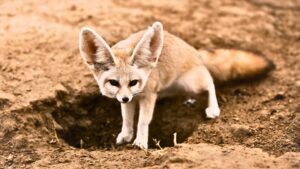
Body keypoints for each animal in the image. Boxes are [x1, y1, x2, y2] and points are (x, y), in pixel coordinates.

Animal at [78, 21, 274, 149]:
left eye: (133, 82)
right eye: (114, 83)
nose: (125, 98)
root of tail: (195, 51)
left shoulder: (148, 95)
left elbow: (143, 121)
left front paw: (140, 142)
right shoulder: (133, 99)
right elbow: (127, 119)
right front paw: (125, 135)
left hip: (191, 82)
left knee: (209, 80)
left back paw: (213, 108)